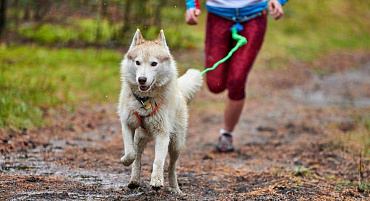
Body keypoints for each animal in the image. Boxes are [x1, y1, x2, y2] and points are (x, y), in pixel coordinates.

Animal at [118, 29, 202, 194]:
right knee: (138, 158)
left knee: (171, 166)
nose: (142, 79)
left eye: (154, 63)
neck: (145, 101)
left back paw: (175, 188)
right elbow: (131, 153)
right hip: (139, 138)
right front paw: (125, 160)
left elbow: (158, 160)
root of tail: (180, 89)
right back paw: (134, 180)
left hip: (176, 144)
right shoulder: (127, 124)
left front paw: (157, 181)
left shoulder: (163, 133)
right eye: (137, 62)